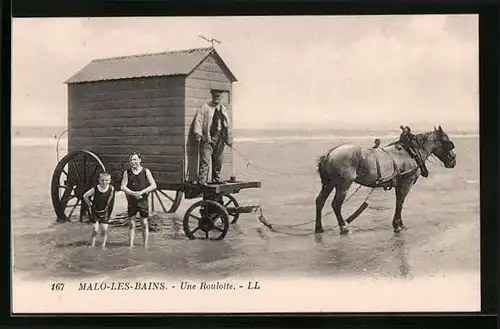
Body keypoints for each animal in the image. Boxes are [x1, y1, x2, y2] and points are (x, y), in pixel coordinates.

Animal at [316, 124, 458, 234]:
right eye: (448, 142)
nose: (453, 161)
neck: (411, 152)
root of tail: (329, 153)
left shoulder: (399, 185)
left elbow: (399, 202)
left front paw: (399, 223)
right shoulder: (407, 184)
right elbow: (400, 203)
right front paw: (397, 225)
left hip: (329, 183)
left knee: (320, 201)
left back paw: (319, 228)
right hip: (343, 184)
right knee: (336, 204)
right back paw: (344, 227)